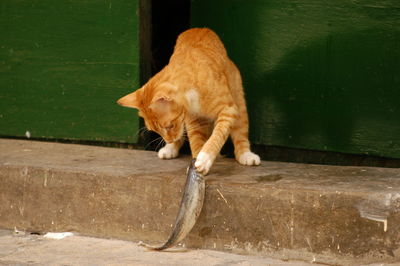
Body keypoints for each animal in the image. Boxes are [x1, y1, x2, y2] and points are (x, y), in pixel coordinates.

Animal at [117, 28, 260, 175]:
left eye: (169, 126)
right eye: (156, 130)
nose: (169, 139)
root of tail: (199, 28)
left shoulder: (228, 110)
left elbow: (217, 135)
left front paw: (204, 159)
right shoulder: (192, 121)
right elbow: (196, 142)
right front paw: (196, 166)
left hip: (239, 102)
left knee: (240, 132)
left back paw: (246, 155)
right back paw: (170, 148)